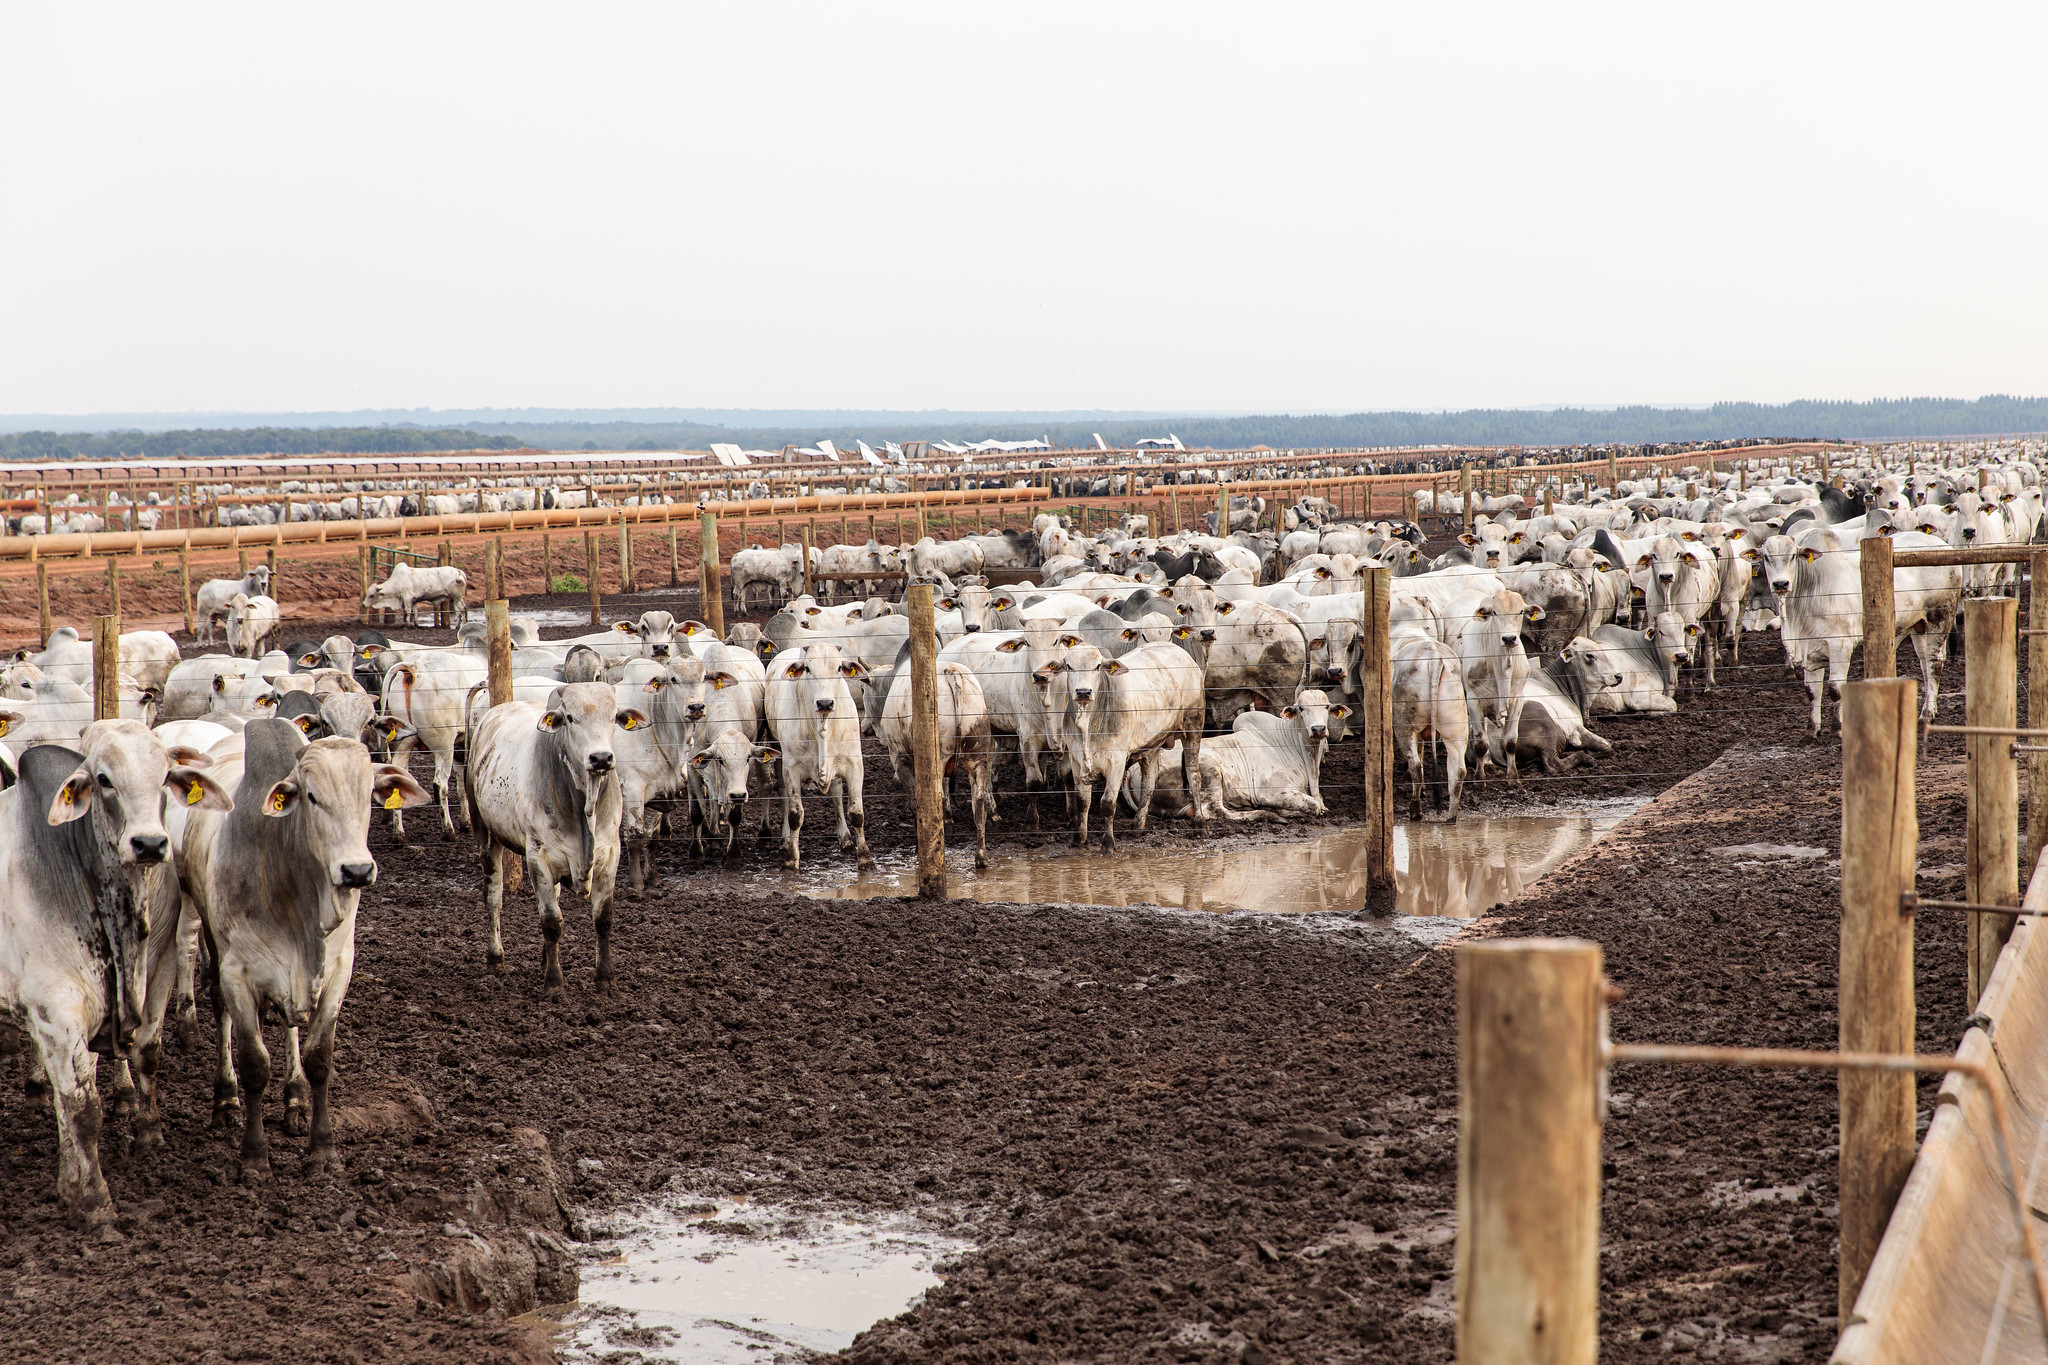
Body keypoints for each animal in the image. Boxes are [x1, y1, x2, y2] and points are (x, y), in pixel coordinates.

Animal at [0, 724, 226, 1227]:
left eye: (165, 775)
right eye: (104, 779)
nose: (150, 844)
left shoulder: (157, 976)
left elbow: (147, 1054)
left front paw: (147, 1135)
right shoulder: (56, 1014)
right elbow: (84, 1110)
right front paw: (93, 1201)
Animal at [176, 720, 428, 1178]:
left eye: (369, 794)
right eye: (311, 796)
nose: (357, 870)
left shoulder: (338, 970)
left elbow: (319, 1059)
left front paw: (322, 1150)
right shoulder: (238, 973)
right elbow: (255, 1063)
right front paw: (254, 1157)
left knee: (290, 1024)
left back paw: (294, 1100)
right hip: (209, 934)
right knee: (220, 1009)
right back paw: (225, 1100)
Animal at [468, 683, 647, 994]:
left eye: (614, 716)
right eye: (571, 718)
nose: (601, 758)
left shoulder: (610, 856)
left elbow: (603, 919)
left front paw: (605, 978)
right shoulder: (537, 857)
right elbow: (551, 922)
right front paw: (554, 983)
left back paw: (542, 960)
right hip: (486, 834)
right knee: (494, 897)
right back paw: (495, 960)